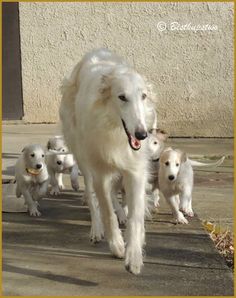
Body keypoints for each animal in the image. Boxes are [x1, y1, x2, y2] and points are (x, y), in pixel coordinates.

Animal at [60, 49, 157, 274]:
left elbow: (135, 216)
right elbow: (106, 211)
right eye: (122, 97)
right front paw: (118, 246)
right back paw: (96, 229)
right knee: (92, 196)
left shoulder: (135, 170)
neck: (114, 130)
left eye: (143, 96)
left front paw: (134, 256)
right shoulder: (100, 172)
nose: (142, 135)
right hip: (84, 159)